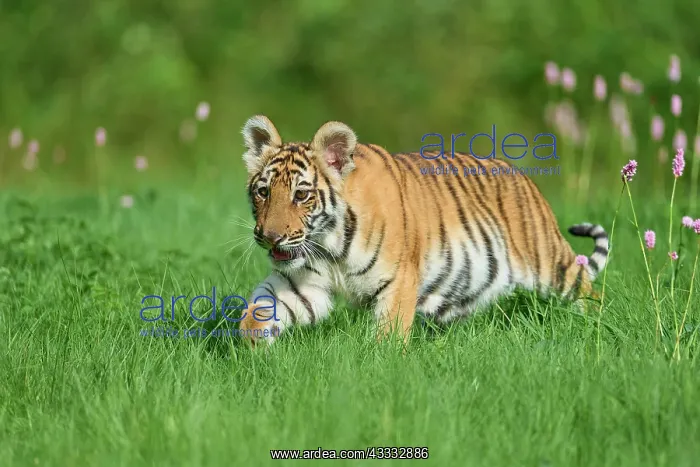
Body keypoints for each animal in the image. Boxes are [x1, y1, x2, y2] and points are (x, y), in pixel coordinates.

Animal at [236, 115, 609, 346]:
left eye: (301, 195)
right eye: (263, 192)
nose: (269, 237)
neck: (329, 243)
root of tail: (522, 176)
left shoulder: (397, 280)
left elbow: (388, 338)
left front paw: (377, 370)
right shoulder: (304, 283)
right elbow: (257, 312)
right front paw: (256, 354)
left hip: (549, 263)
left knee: (588, 291)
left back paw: (595, 326)